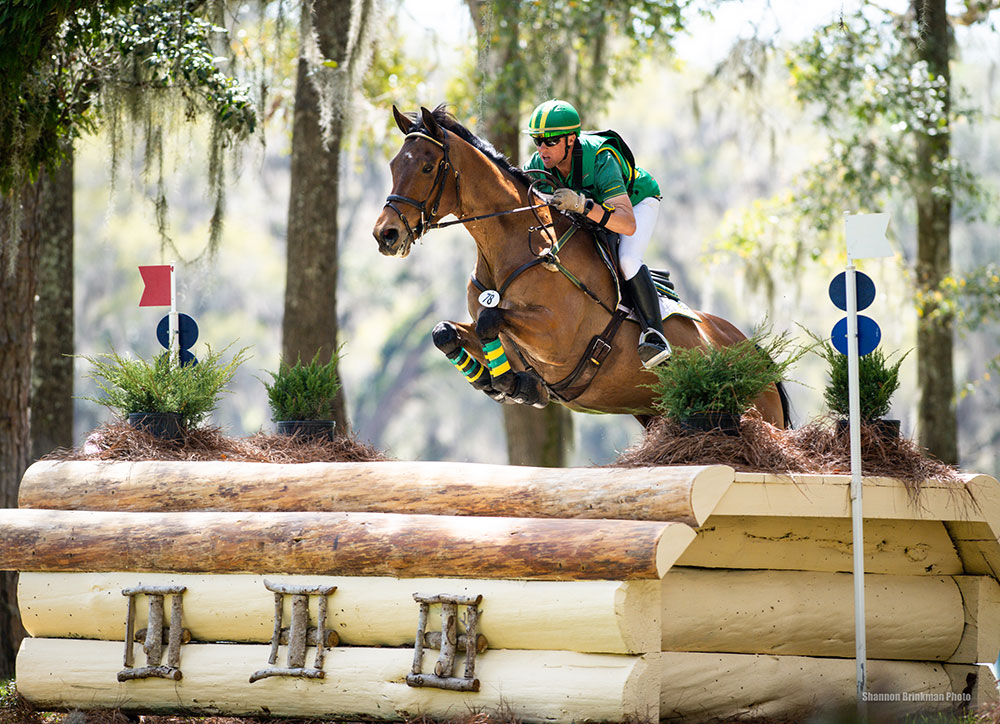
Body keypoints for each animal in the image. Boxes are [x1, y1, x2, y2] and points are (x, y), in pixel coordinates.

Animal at [372, 105, 789, 427]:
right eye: (392, 165)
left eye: (428, 167)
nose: (385, 234)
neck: (516, 245)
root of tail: (757, 354)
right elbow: (446, 332)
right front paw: (498, 381)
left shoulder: (557, 337)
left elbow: (492, 319)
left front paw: (509, 384)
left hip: (756, 411)